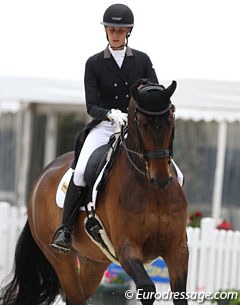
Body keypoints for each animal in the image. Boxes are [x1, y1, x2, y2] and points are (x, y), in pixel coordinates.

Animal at [0, 79, 188, 304]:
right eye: (141, 124)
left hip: (94, 261)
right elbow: (147, 288)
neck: (153, 192)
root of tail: (40, 178)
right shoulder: (127, 249)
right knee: (73, 294)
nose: (160, 179)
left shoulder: (178, 248)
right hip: (61, 258)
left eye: (171, 120)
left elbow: (180, 293)